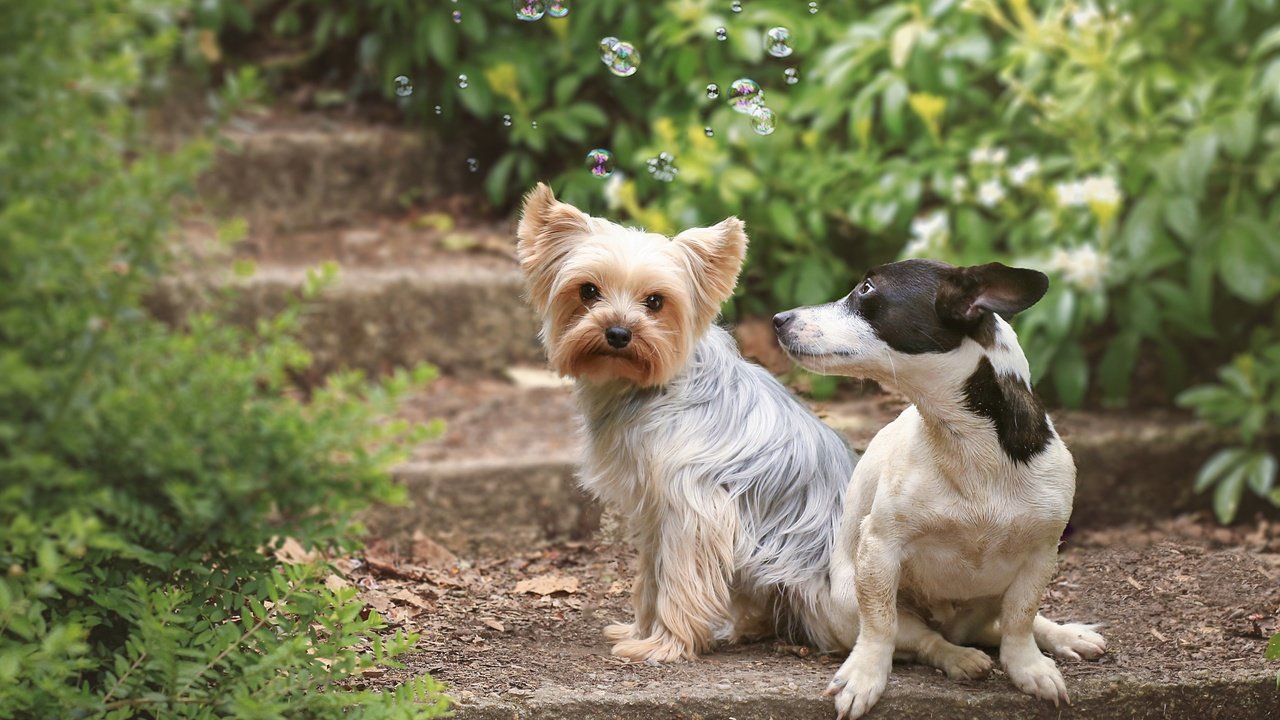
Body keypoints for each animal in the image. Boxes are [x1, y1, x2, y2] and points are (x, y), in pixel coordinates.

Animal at [773, 258, 1105, 717]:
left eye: (866, 289)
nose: (777, 319)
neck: (967, 442)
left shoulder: (1041, 555)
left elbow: (1021, 619)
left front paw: (1029, 668)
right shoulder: (879, 548)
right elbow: (880, 625)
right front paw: (865, 676)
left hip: (989, 600)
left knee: (1000, 625)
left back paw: (1065, 635)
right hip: (847, 601)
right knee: (924, 639)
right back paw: (960, 658)